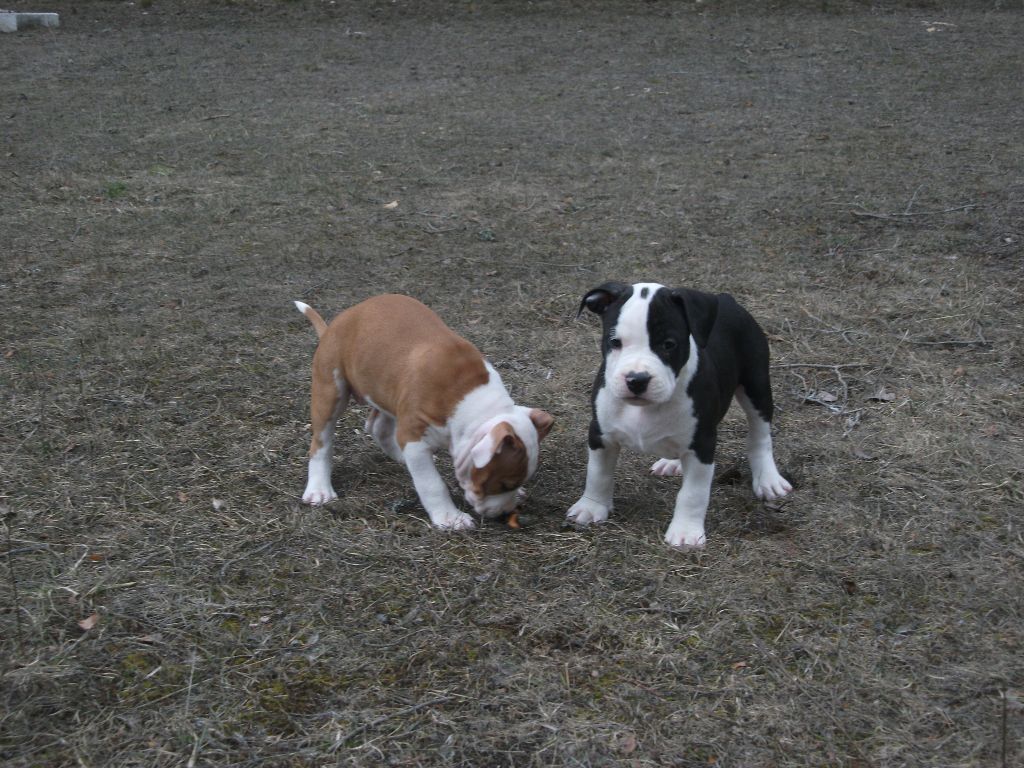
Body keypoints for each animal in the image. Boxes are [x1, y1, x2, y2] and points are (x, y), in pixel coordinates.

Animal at [294, 294, 552, 528]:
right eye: (504, 484)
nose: (506, 512)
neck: (471, 401)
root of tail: (336, 324)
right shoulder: (415, 437)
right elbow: (432, 484)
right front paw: (450, 518)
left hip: (386, 391)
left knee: (377, 426)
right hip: (330, 389)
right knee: (321, 443)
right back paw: (319, 489)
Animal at [569, 280, 790, 548]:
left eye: (668, 344)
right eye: (614, 342)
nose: (637, 380)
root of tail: (726, 299)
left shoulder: (702, 444)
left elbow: (693, 493)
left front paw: (686, 532)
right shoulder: (600, 433)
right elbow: (598, 473)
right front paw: (591, 507)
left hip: (756, 384)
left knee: (760, 435)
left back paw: (768, 479)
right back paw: (672, 462)